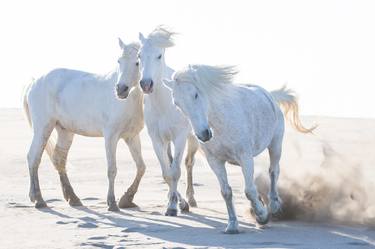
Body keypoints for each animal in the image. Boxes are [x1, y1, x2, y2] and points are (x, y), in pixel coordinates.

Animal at [22, 39, 145, 210]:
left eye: (137, 62)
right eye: (119, 61)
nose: (121, 89)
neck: (131, 99)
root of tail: (35, 82)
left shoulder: (132, 137)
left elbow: (141, 167)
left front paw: (127, 199)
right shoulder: (111, 137)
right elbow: (112, 169)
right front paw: (112, 203)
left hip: (65, 131)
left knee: (59, 159)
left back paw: (72, 198)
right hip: (43, 128)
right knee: (33, 157)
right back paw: (39, 199)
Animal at [135, 26, 200, 215]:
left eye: (159, 56)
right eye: (139, 56)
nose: (146, 84)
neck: (163, 103)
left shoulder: (180, 137)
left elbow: (176, 171)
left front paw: (173, 207)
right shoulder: (157, 139)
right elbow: (167, 172)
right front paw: (174, 202)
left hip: (193, 139)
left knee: (189, 164)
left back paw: (191, 199)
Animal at [166, 64, 316, 233]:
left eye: (196, 95)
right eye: (177, 103)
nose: (203, 135)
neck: (221, 123)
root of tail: (269, 95)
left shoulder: (245, 157)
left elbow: (249, 191)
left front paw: (262, 216)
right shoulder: (215, 162)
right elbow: (226, 192)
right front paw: (232, 225)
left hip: (275, 145)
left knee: (273, 171)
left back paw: (274, 205)